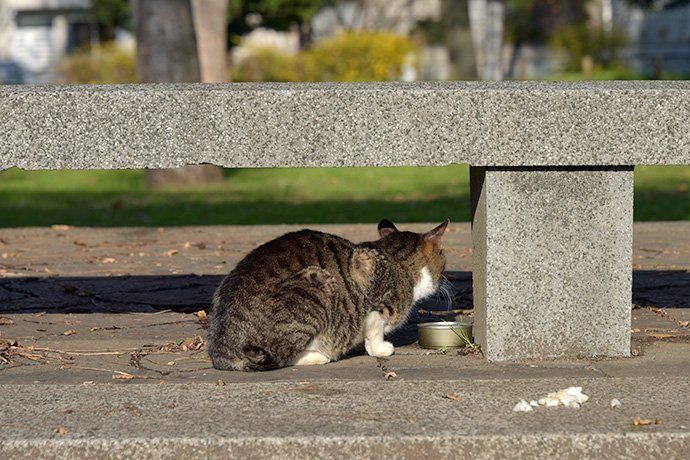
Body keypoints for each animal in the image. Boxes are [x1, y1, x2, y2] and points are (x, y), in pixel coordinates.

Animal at [207, 217, 448, 372]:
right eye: (443, 254)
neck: (395, 260)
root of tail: (222, 349)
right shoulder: (373, 301)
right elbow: (374, 330)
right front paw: (380, 349)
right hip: (315, 284)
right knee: (281, 357)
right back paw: (321, 356)